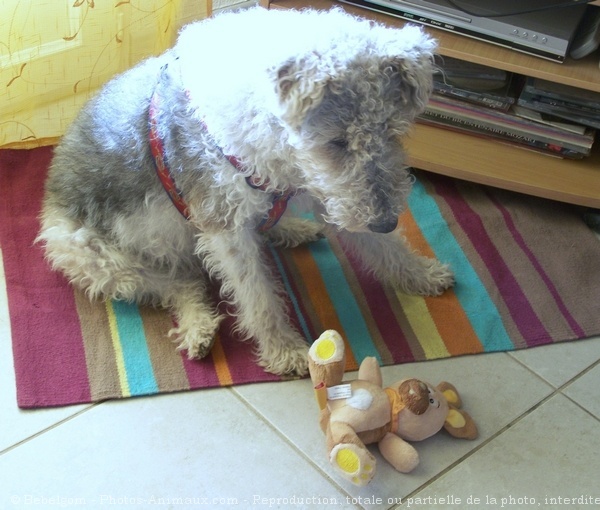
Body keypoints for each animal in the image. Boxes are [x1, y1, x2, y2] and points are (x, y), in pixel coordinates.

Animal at [37, 6, 454, 374]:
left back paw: (293, 229)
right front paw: (285, 352)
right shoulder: (226, 226)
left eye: (392, 131)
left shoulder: (326, 192)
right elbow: (258, 297)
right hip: (95, 259)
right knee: (181, 283)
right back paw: (199, 328)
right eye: (336, 142)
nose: (385, 221)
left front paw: (423, 274)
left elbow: (386, 249)